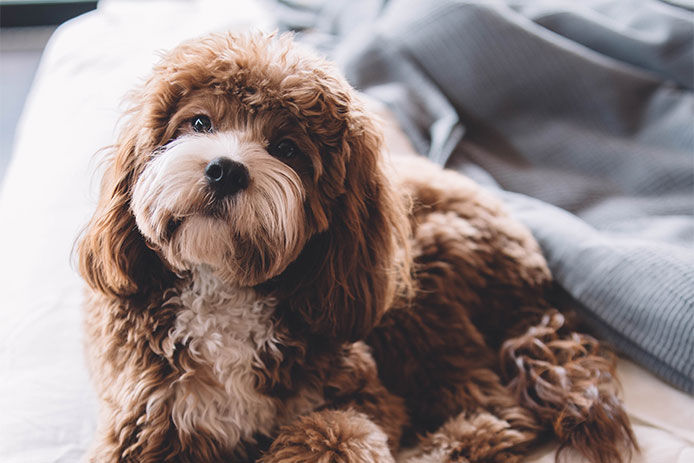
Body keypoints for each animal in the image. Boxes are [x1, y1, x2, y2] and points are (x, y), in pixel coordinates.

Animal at [79, 30, 640, 462]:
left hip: (422, 290)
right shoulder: (148, 418)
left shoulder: (362, 393)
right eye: (199, 122)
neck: (225, 287)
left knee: (497, 408)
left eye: (286, 148)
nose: (225, 169)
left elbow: (336, 432)